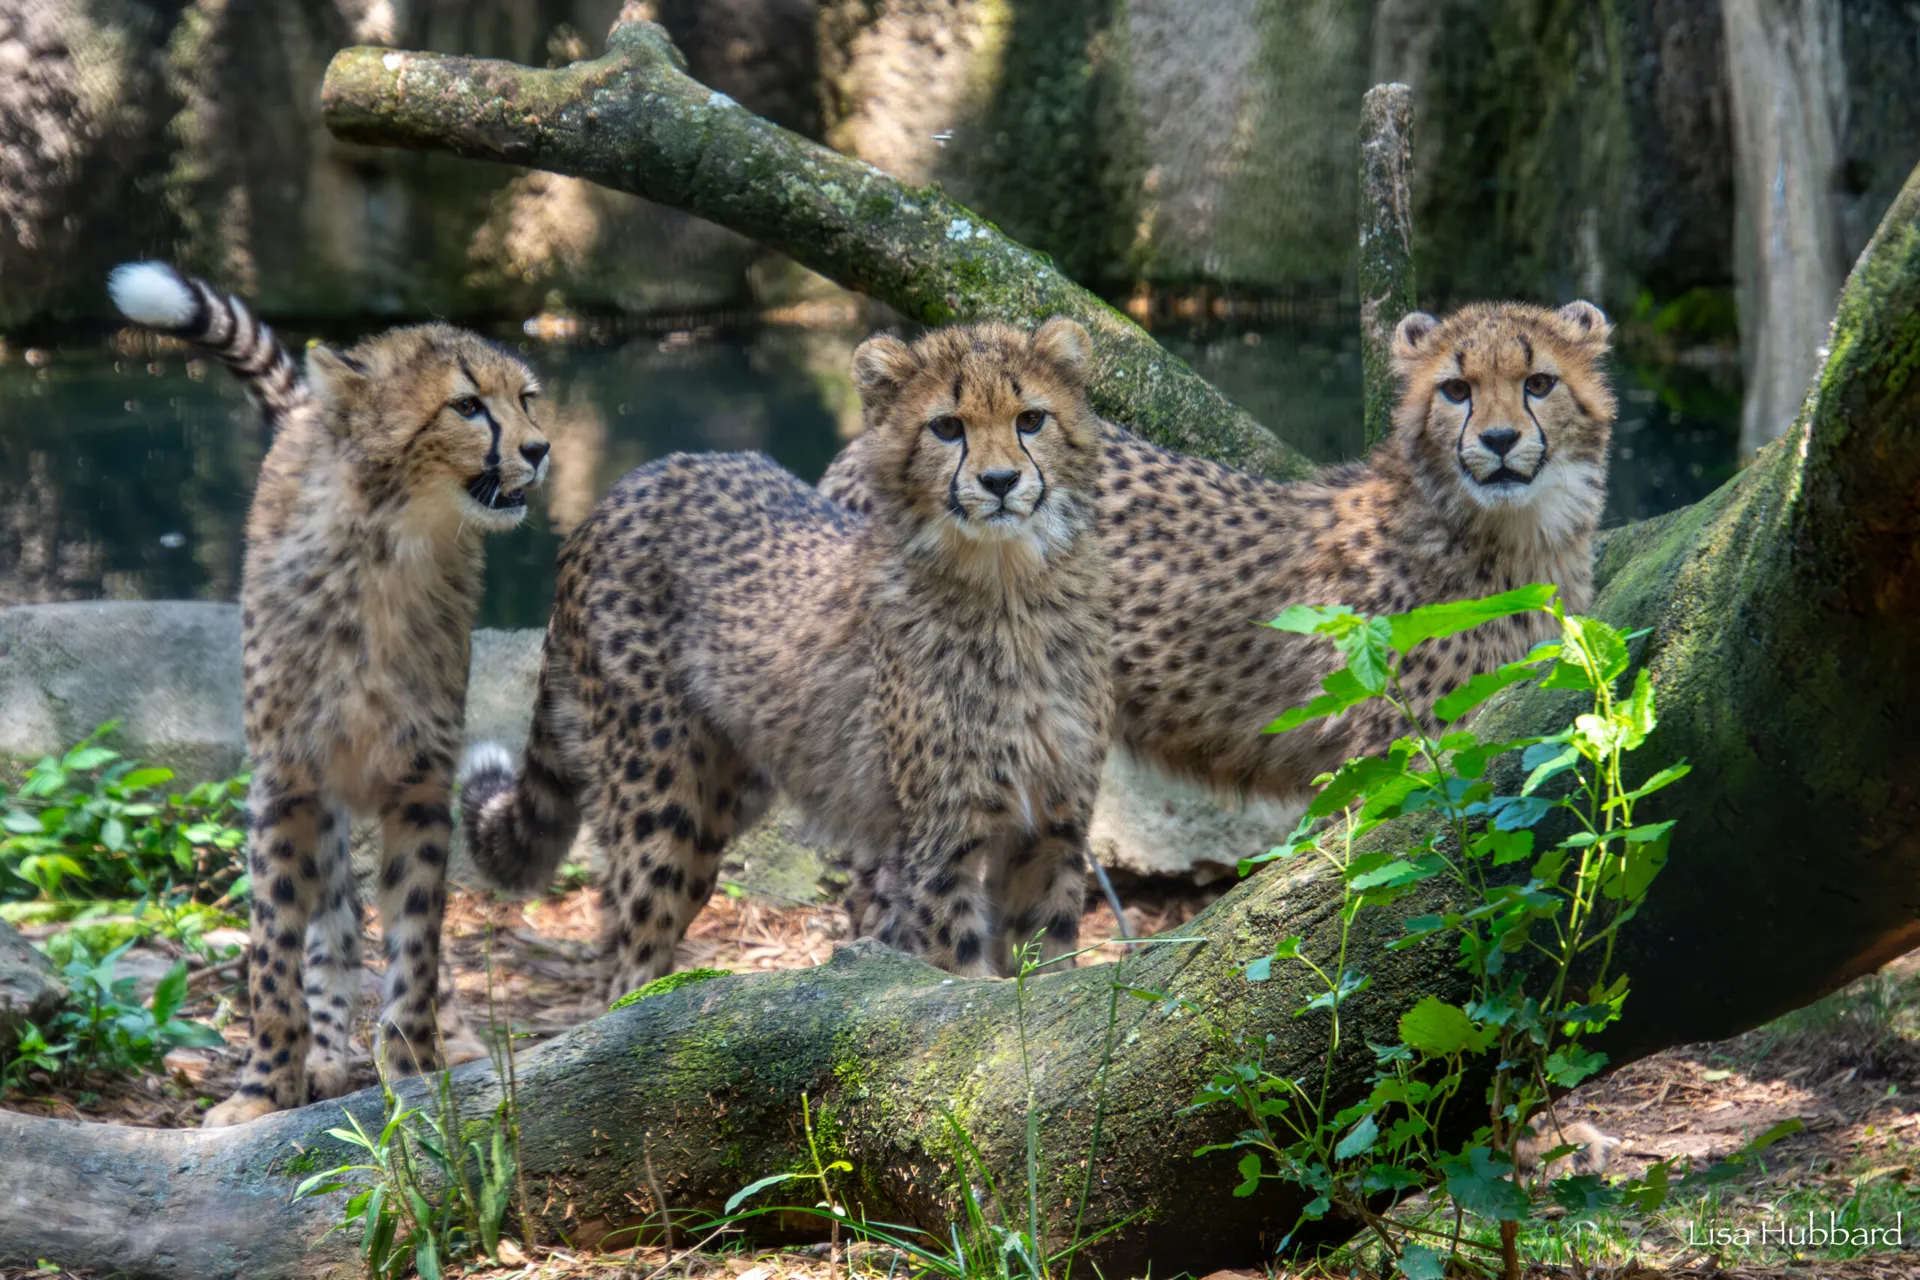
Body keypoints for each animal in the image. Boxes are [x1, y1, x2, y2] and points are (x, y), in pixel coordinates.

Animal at [108, 262, 551, 1127]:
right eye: (467, 405)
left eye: (526, 398)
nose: (540, 449)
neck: (393, 547)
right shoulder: (286, 785)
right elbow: (274, 950)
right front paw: (263, 1089)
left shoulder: (420, 785)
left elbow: (416, 942)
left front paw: (412, 1072)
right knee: (332, 927)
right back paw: (321, 1056)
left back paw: (445, 1042)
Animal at [459, 317, 1113, 992]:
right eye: (947, 427)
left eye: (1030, 419)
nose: (1000, 482)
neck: (1010, 589)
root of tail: (633, 485)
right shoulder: (939, 844)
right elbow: (963, 979)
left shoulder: (1053, 830)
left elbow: (1048, 968)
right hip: (661, 803)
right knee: (629, 959)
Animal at [819, 300, 1616, 805]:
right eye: (1455, 389)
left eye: (1539, 383)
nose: (1500, 441)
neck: (1511, 536)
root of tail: (857, 449)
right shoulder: (1389, 756)